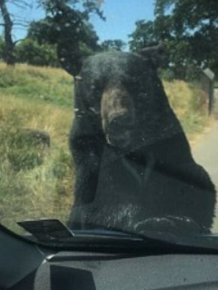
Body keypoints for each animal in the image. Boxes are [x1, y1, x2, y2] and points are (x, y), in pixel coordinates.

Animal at [67, 48, 216, 234]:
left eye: (133, 83)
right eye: (96, 87)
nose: (119, 120)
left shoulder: (168, 145)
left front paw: (176, 219)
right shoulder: (90, 153)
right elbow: (108, 200)